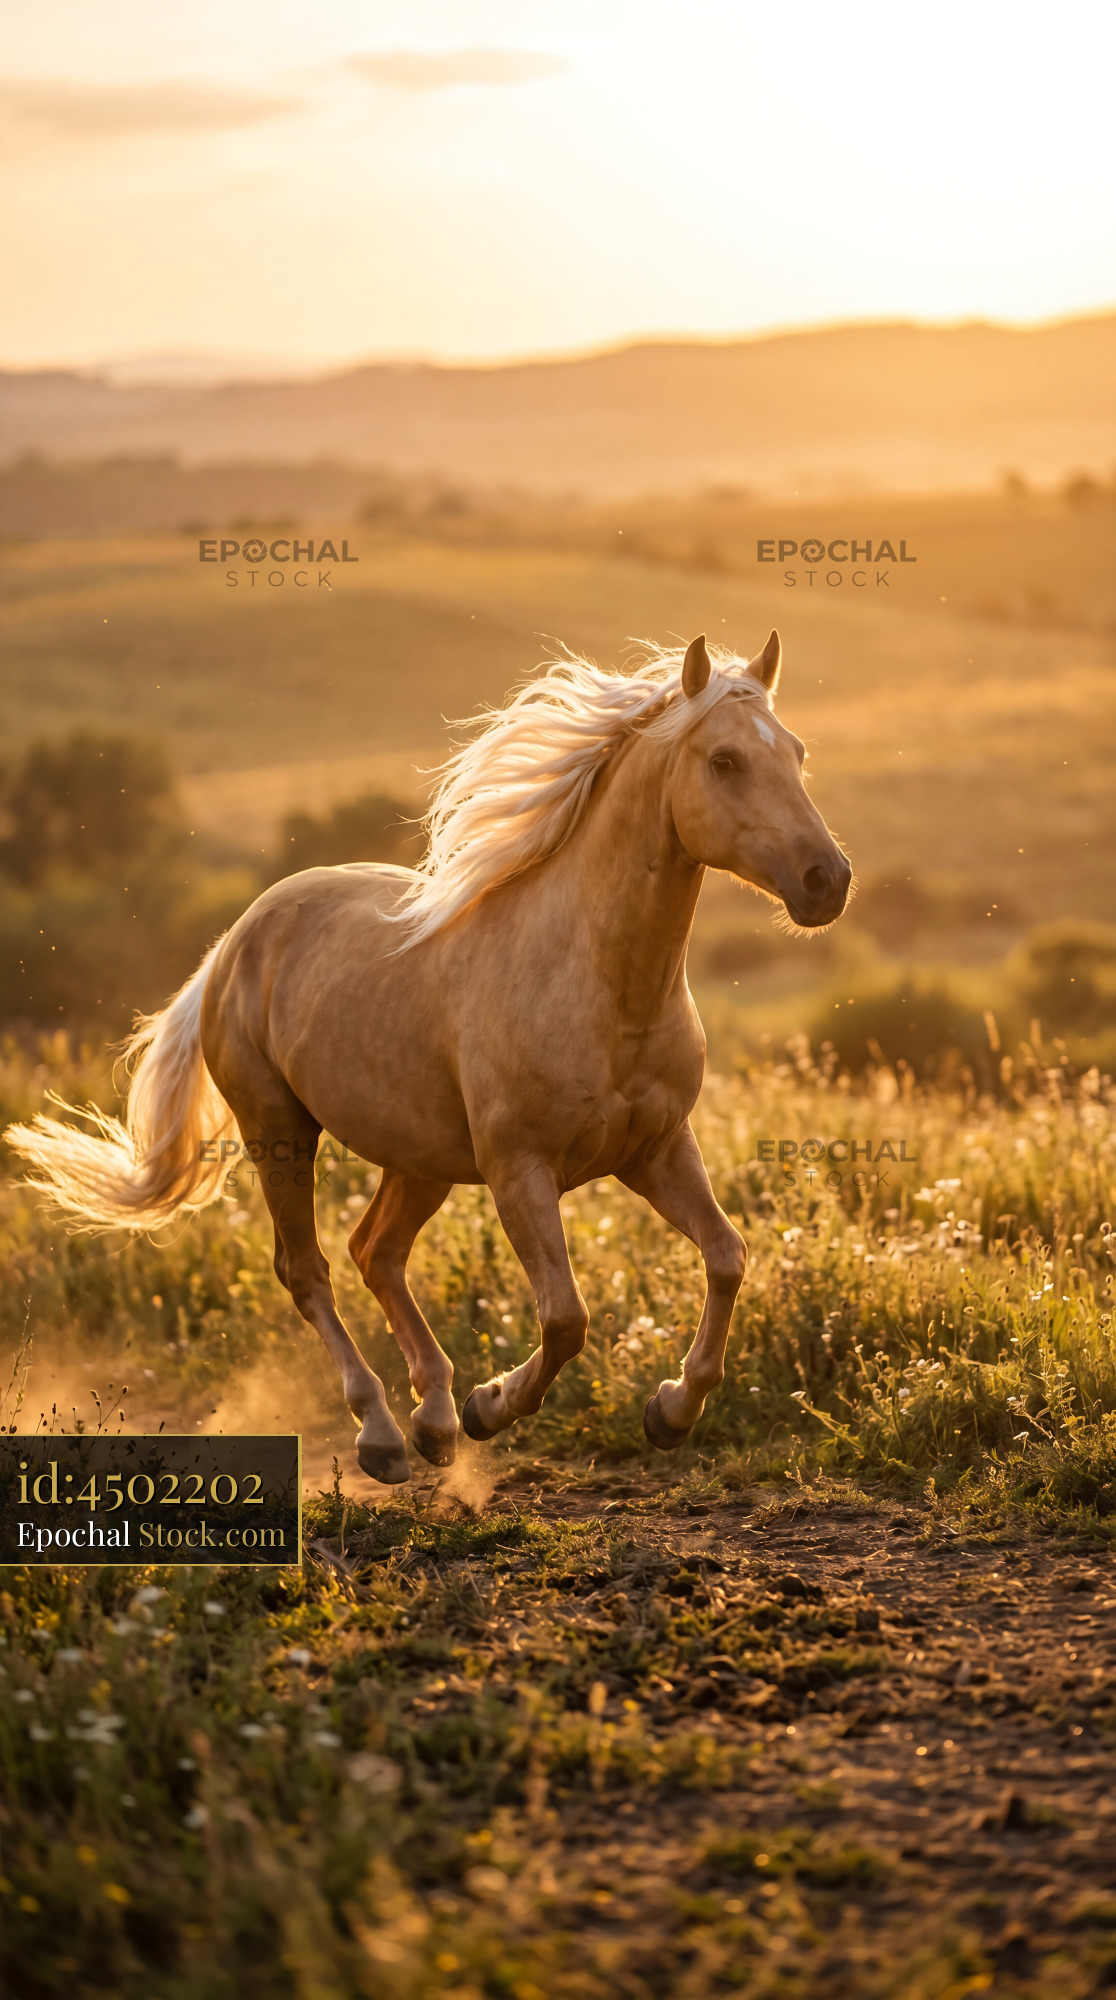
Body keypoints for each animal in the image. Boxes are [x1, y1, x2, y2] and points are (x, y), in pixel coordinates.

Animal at [8, 631, 850, 1484]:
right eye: (724, 760)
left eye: (798, 753)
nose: (828, 881)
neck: (600, 983)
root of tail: (237, 939)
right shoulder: (520, 1171)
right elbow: (566, 1318)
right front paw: (493, 1406)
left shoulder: (657, 1150)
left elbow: (727, 1257)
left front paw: (671, 1412)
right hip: (278, 1129)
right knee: (308, 1270)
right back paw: (386, 1432)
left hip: (419, 1159)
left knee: (374, 1251)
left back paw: (435, 1420)